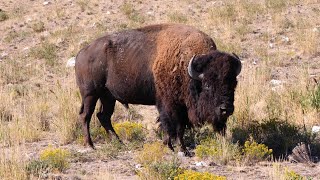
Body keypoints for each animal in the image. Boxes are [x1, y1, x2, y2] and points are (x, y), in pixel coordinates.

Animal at [74, 23, 240, 156]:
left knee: (103, 116)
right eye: (207, 85)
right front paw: (175, 148)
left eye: (233, 84)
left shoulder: (181, 107)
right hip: (90, 94)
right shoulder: (169, 105)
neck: (187, 68)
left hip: (108, 96)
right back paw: (90, 145)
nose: (226, 109)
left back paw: (119, 141)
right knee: (86, 115)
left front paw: (179, 148)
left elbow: (178, 127)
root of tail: (82, 52)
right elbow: (173, 126)